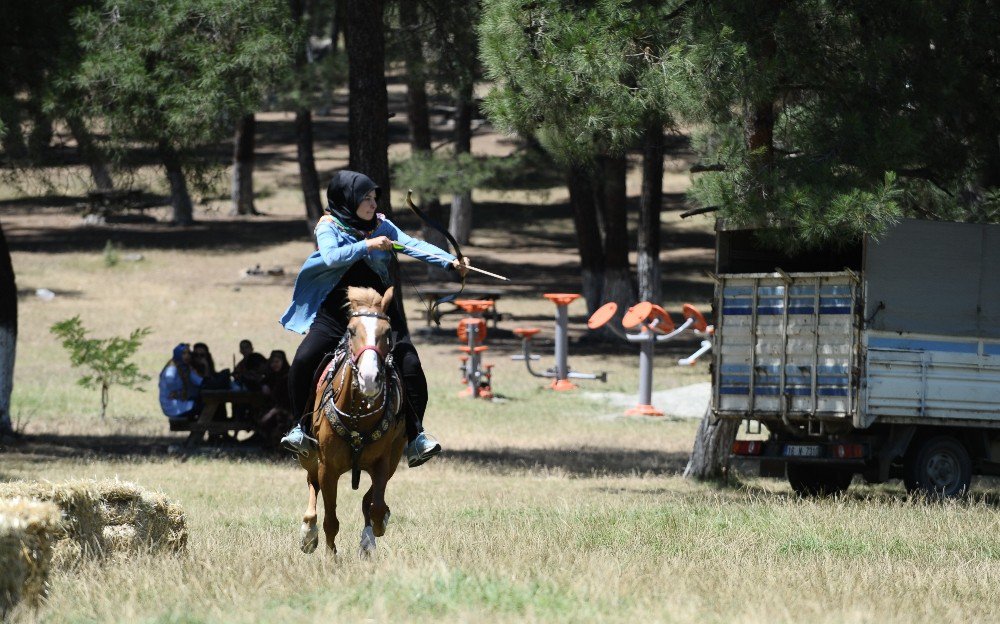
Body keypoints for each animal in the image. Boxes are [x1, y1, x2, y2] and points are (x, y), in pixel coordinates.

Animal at [296, 286, 406, 556]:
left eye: (387, 332)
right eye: (352, 330)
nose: (369, 378)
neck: (358, 417)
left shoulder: (383, 462)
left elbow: (376, 506)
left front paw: (373, 533)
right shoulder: (328, 467)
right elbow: (331, 519)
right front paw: (330, 557)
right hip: (308, 456)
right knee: (312, 484)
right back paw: (308, 534)